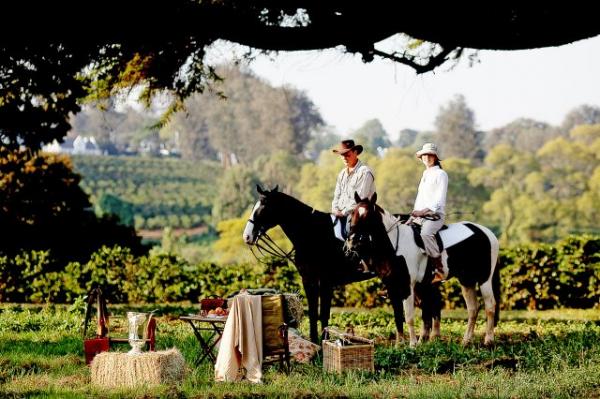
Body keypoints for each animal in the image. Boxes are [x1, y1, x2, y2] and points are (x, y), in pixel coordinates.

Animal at [241, 187, 414, 344]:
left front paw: (324, 341)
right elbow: (313, 312)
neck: (312, 234)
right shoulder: (308, 279)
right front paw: (314, 341)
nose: (247, 236)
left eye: (263, 207)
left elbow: (324, 313)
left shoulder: (325, 282)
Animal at [344, 194, 500, 346]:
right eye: (353, 213)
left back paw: (488, 340)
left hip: (484, 279)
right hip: (467, 281)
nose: (352, 241)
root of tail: (487, 233)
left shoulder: (407, 286)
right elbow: (398, 316)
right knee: (473, 309)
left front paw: (413, 344)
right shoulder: (393, 286)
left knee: (490, 306)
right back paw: (466, 341)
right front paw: (399, 345)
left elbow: (409, 316)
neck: (395, 246)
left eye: (368, 215)